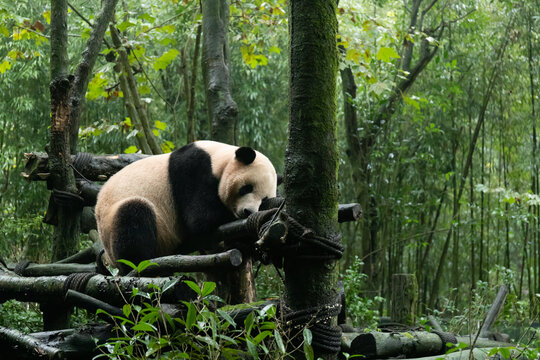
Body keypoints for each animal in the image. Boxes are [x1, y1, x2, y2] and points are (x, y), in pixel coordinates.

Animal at [94, 141, 276, 272]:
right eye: (247, 188)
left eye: (264, 199)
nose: (248, 212)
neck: (219, 158)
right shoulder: (193, 170)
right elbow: (201, 219)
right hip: (114, 221)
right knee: (133, 214)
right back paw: (138, 262)